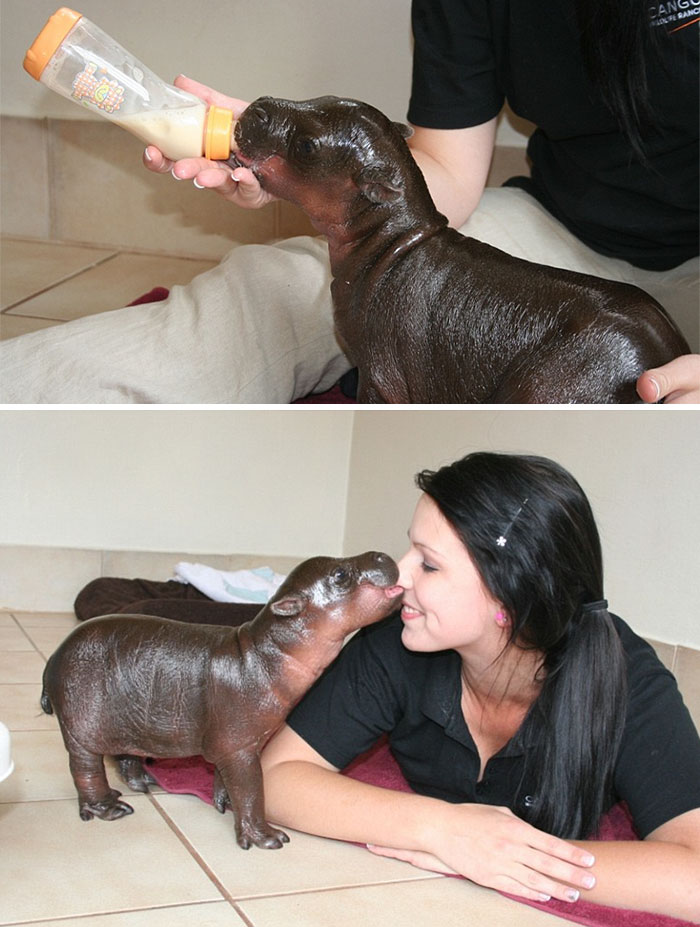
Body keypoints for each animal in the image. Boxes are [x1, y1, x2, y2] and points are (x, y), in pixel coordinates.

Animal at [41, 551, 402, 849]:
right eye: (340, 573)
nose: (381, 554)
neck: (268, 648)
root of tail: (55, 655)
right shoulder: (239, 745)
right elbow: (252, 788)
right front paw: (268, 839)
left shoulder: (238, 741)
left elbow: (227, 780)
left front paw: (223, 804)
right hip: (83, 725)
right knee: (85, 768)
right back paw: (111, 808)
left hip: (125, 721)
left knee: (124, 753)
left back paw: (144, 783)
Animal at [231, 95, 690, 403]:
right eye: (321, 97)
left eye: (308, 146)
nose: (257, 106)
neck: (389, 236)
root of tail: (665, 353)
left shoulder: (379, 378)